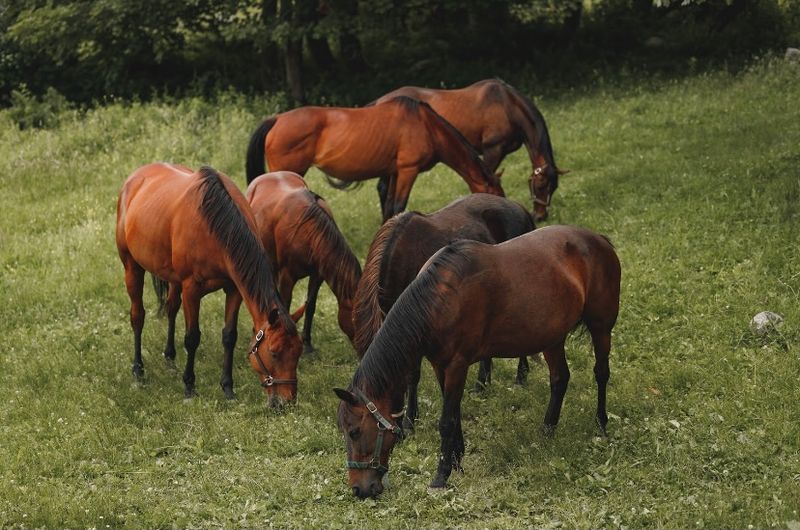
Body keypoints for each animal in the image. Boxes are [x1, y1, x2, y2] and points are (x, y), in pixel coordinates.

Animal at [116, 163, 304, 405]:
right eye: (273, 353)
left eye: (298, 352)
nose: (286, 402)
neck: (216, 227)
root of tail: (135, 178)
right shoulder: (191, 290)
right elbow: (192, 338)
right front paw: (189, 387)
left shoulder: (234, 289)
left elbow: (229, 336)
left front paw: (228, 388)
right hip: (132, 267)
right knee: (137, 316)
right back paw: (138, 371)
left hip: (173, 279)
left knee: (171, 309)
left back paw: (170, 360)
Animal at [245, 96, 505, 221]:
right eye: (496, 197)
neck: (427, 125)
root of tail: (277, 119)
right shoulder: (407, 171)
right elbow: (399, 205)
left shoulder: (393, 172)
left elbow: (389, 206)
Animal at [245, 171, 362, 353]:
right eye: (357, 320)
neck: (310, 233)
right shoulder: (287, 276)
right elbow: (285, 307)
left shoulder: (317, 275)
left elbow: (310, 306)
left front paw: (307, 343)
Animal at [335, 225, 621, 497]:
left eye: (354, 431)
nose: (358, 489)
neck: (440, 300)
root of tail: (600, 240)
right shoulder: (440, 366)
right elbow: (454, 413)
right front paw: (457, 461)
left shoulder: (457, 365)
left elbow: (446, 421)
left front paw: (441, 475)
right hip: (552, 337)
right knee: (560, 379)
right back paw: (548, 430)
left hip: (601, 328)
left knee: (601, 373)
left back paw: (601, 425)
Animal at [371, 79, 565, 221]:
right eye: (540, 185)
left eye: (554, 187)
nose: (540, 216)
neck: (507, 106)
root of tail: (379, 101)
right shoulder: (492, 150)